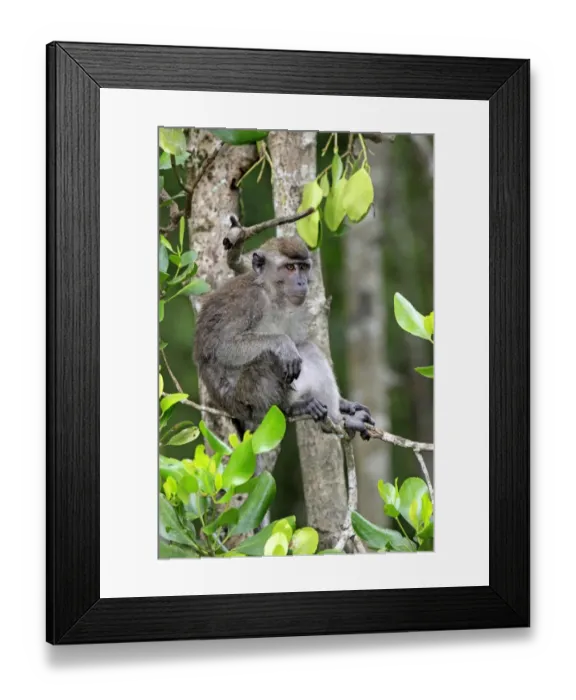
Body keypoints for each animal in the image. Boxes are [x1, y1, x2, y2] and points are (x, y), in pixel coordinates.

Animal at [192, 235, 374, 443]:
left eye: (303, 267)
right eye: (290, 268)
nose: (302, 282)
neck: (272, 295)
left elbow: (299, 342)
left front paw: (345, 404)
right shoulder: (248, 301)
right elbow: (223, 347)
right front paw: (283, 343)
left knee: (306, 348)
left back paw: (341, 420)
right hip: (246, 404)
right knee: (267, 359)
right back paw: (291, 408)